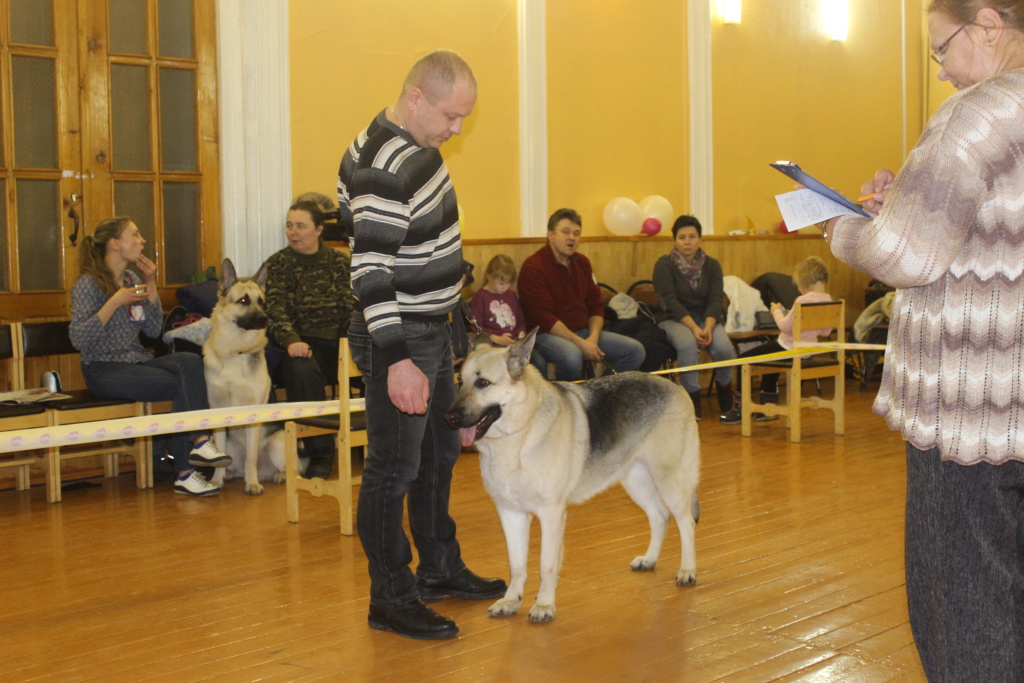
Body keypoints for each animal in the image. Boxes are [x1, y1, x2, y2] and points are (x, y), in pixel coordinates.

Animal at [444, 331, 700, 626]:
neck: (522, 430)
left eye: (483, 383)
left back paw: (688, 570)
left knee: (685, 524)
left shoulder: (551, 514)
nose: (449, 418)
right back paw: (650, 559)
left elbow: (546, 564)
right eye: (460, 381)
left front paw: (544, 605)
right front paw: (511, 601)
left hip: (669, 481)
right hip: (637, 482)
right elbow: (516, 565)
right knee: (660, 517)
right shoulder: (510, 514)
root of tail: (675, 385)